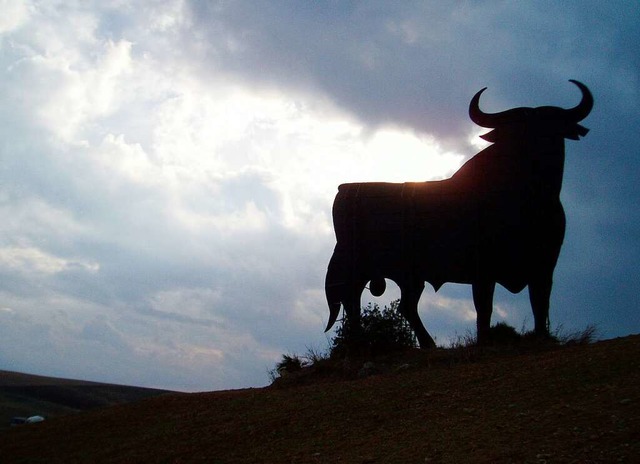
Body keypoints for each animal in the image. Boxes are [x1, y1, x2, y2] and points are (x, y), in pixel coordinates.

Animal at [324, 80, 596, 348]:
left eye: (550, 128)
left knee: (404, 306)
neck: (526, 199)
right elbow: (484, 308)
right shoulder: (483, 269)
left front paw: (542, 337)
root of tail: (344, 189)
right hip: (357, 267)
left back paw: (425, 344)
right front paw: (484, 341)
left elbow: (540, 303)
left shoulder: (544, 265)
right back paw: (360, 343)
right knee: (353, 300)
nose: (532, 154)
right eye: (514, 131)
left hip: (408, 276)